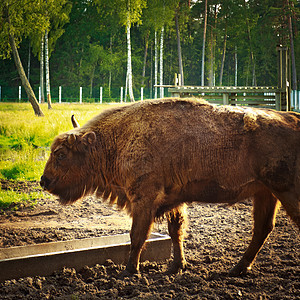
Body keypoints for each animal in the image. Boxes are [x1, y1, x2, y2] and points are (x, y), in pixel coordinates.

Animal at [40, 98, 300, 276]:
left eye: (61, 154)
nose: (44, 181)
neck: (114, 140)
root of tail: (294, 119)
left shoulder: (144, 199)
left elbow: (137, 235)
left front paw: (130, 271)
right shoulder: (174, 200)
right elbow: (176, 232)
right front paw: (177, 265)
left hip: (286, 191)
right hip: (266, 192)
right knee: (263, 228)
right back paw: (238, 268)